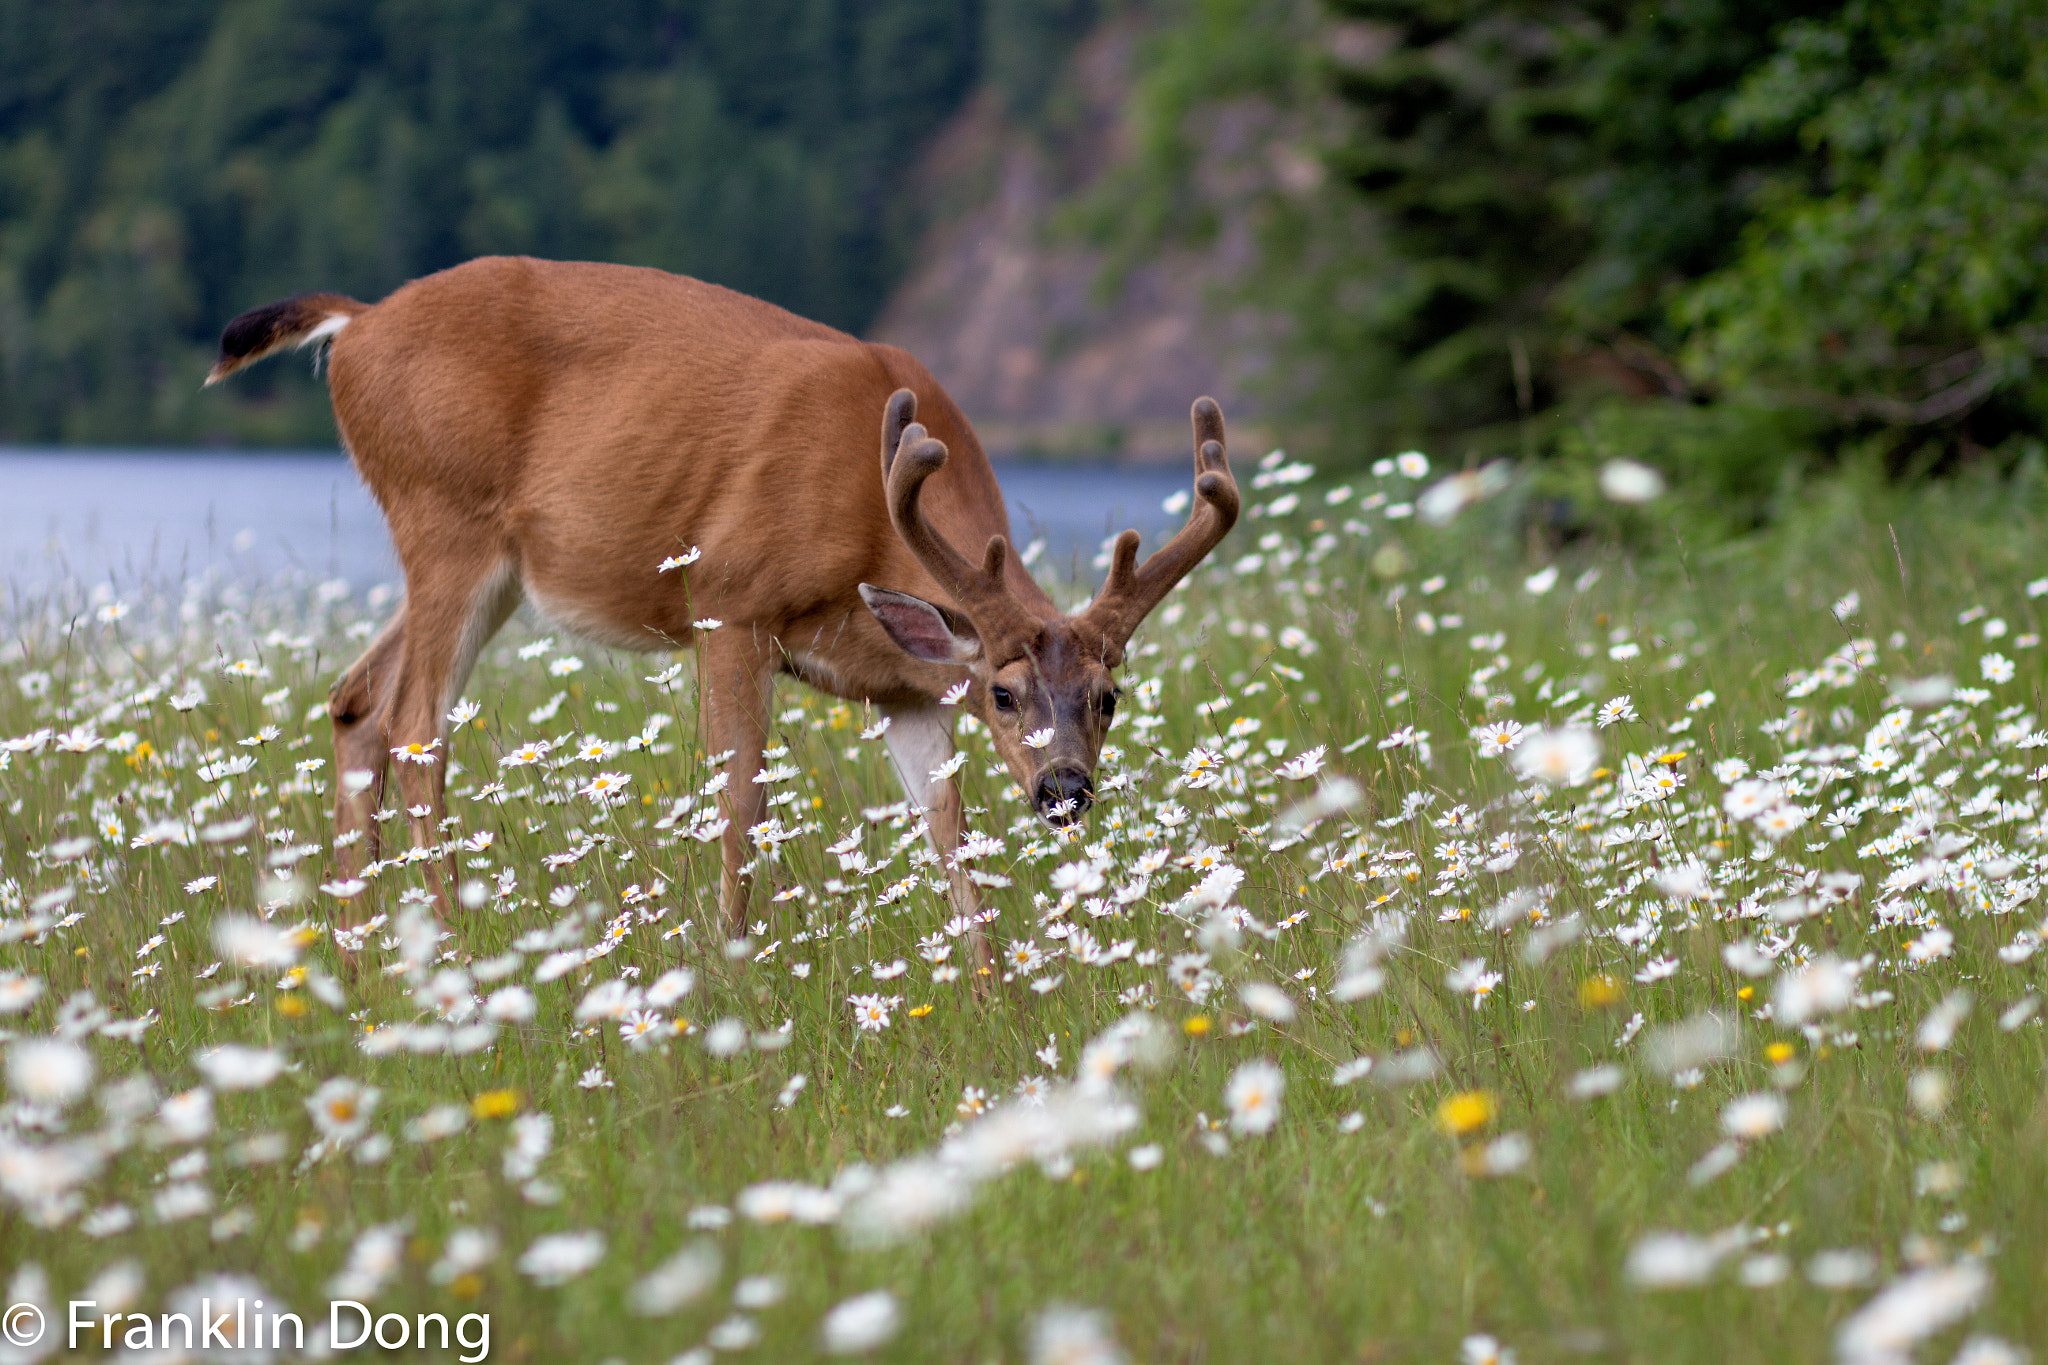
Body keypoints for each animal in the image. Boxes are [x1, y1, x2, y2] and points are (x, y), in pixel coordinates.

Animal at [204, 256, 1239, 959]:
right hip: (444, 518)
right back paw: (453, 949)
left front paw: (991, 988)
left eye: (1109, 697)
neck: (870, 512)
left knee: (355, 700)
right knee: (419, 722)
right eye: (1004, 692)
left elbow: (946, 825)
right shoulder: (730, 601)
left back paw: (359, 962)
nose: (1064, 788)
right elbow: (741, 797)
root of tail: (355, 324)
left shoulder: (904, 685)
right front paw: (734, 967)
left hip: (481, 564)